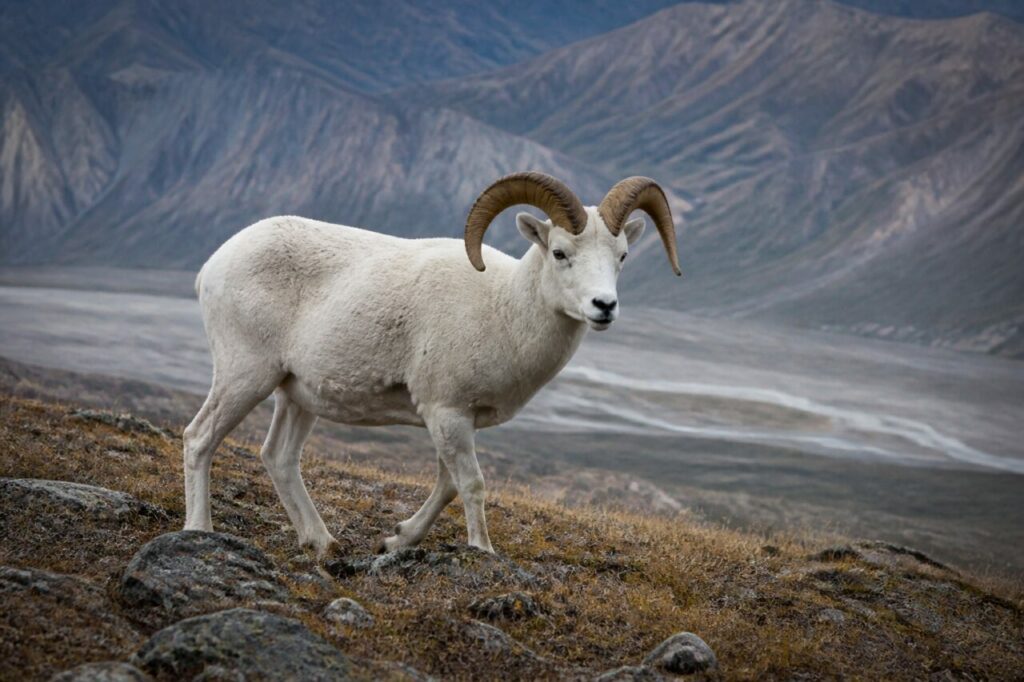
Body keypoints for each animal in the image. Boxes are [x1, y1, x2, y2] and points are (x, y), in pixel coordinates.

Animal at [184, 172, 681, 557]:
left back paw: (323, 544)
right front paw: (482, 550)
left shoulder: (456, 420)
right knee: (199, 439)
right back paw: (200, 530)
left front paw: (397, 540)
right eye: (560, 253)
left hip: (297, 395)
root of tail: (212, 265)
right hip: (245, 376)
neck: (501, 309)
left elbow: (447, 485)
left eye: (621, 257)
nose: (604, 307)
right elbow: (472, 485)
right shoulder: (447, 413)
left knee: (279, 457)